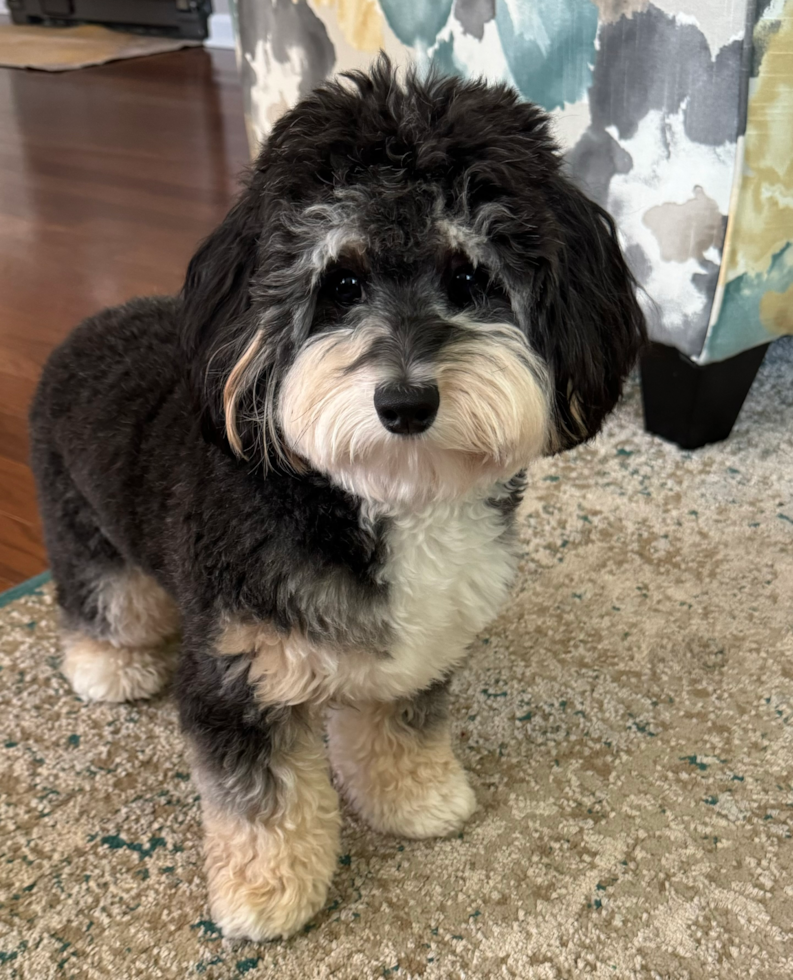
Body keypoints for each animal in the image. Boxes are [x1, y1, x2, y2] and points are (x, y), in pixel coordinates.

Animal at [31, 61, 648, 940]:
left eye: (470, 278)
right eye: (342, 283)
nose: (405, 402)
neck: (383, 500)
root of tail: (87, 326)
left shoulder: (417, 648)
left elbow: (399, 726)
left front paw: (415, 797)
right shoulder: (240, 676)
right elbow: (262, 801)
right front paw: (266, 892)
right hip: (84, 528)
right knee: (100, 601)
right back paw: (106, 667)